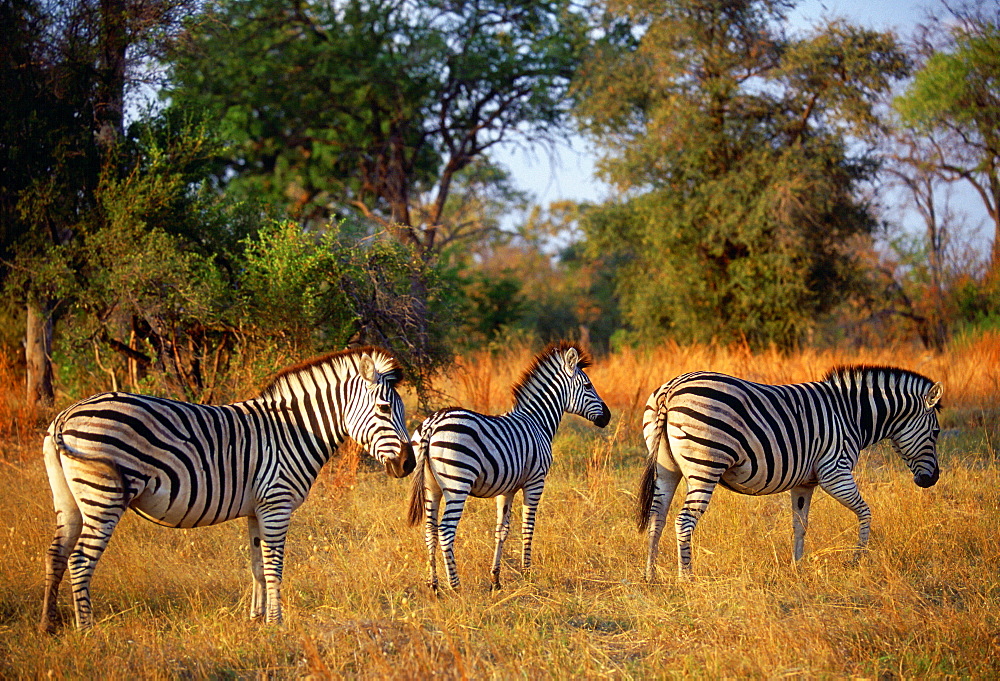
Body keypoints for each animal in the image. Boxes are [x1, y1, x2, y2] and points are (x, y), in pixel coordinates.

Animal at [39, 346, 414, 632]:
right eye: (384, 409)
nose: (409, 464)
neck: (292, 431)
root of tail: (66, 415)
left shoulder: (257, 509)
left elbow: (257, 566)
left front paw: (257, 619)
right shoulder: (276, 504)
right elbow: (274, 566)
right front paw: (276, 622)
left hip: (69, 500)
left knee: (56, 554)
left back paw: (48, 625)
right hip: (103, 497)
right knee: (80, 559)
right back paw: (86, 630)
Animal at [404, 340, 608, 588]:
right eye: (588, 386)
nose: (607, 417)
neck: (537, 421)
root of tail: (432, 424)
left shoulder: (506, 489)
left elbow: (502, 530)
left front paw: (496, 579)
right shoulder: (535, 481)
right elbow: (528, 527)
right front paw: (527, 574)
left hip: (430, 486)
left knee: (430, 530)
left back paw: (434, 586)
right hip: (457, 484)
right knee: (445, 531)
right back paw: (455, 586)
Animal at [636, 366, 940, 580]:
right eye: (936, 432)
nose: (932, 479)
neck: (851, 416)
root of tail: (671, 389)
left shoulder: (804, 483)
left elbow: (799, 524)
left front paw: (797, 567)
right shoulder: (835, 472)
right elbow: (866, 512)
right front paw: (857, 560)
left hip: (666, 469)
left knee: (657, 517)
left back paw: (651, 576)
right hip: (705, 466)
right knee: (684, 520)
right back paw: (686, 579)